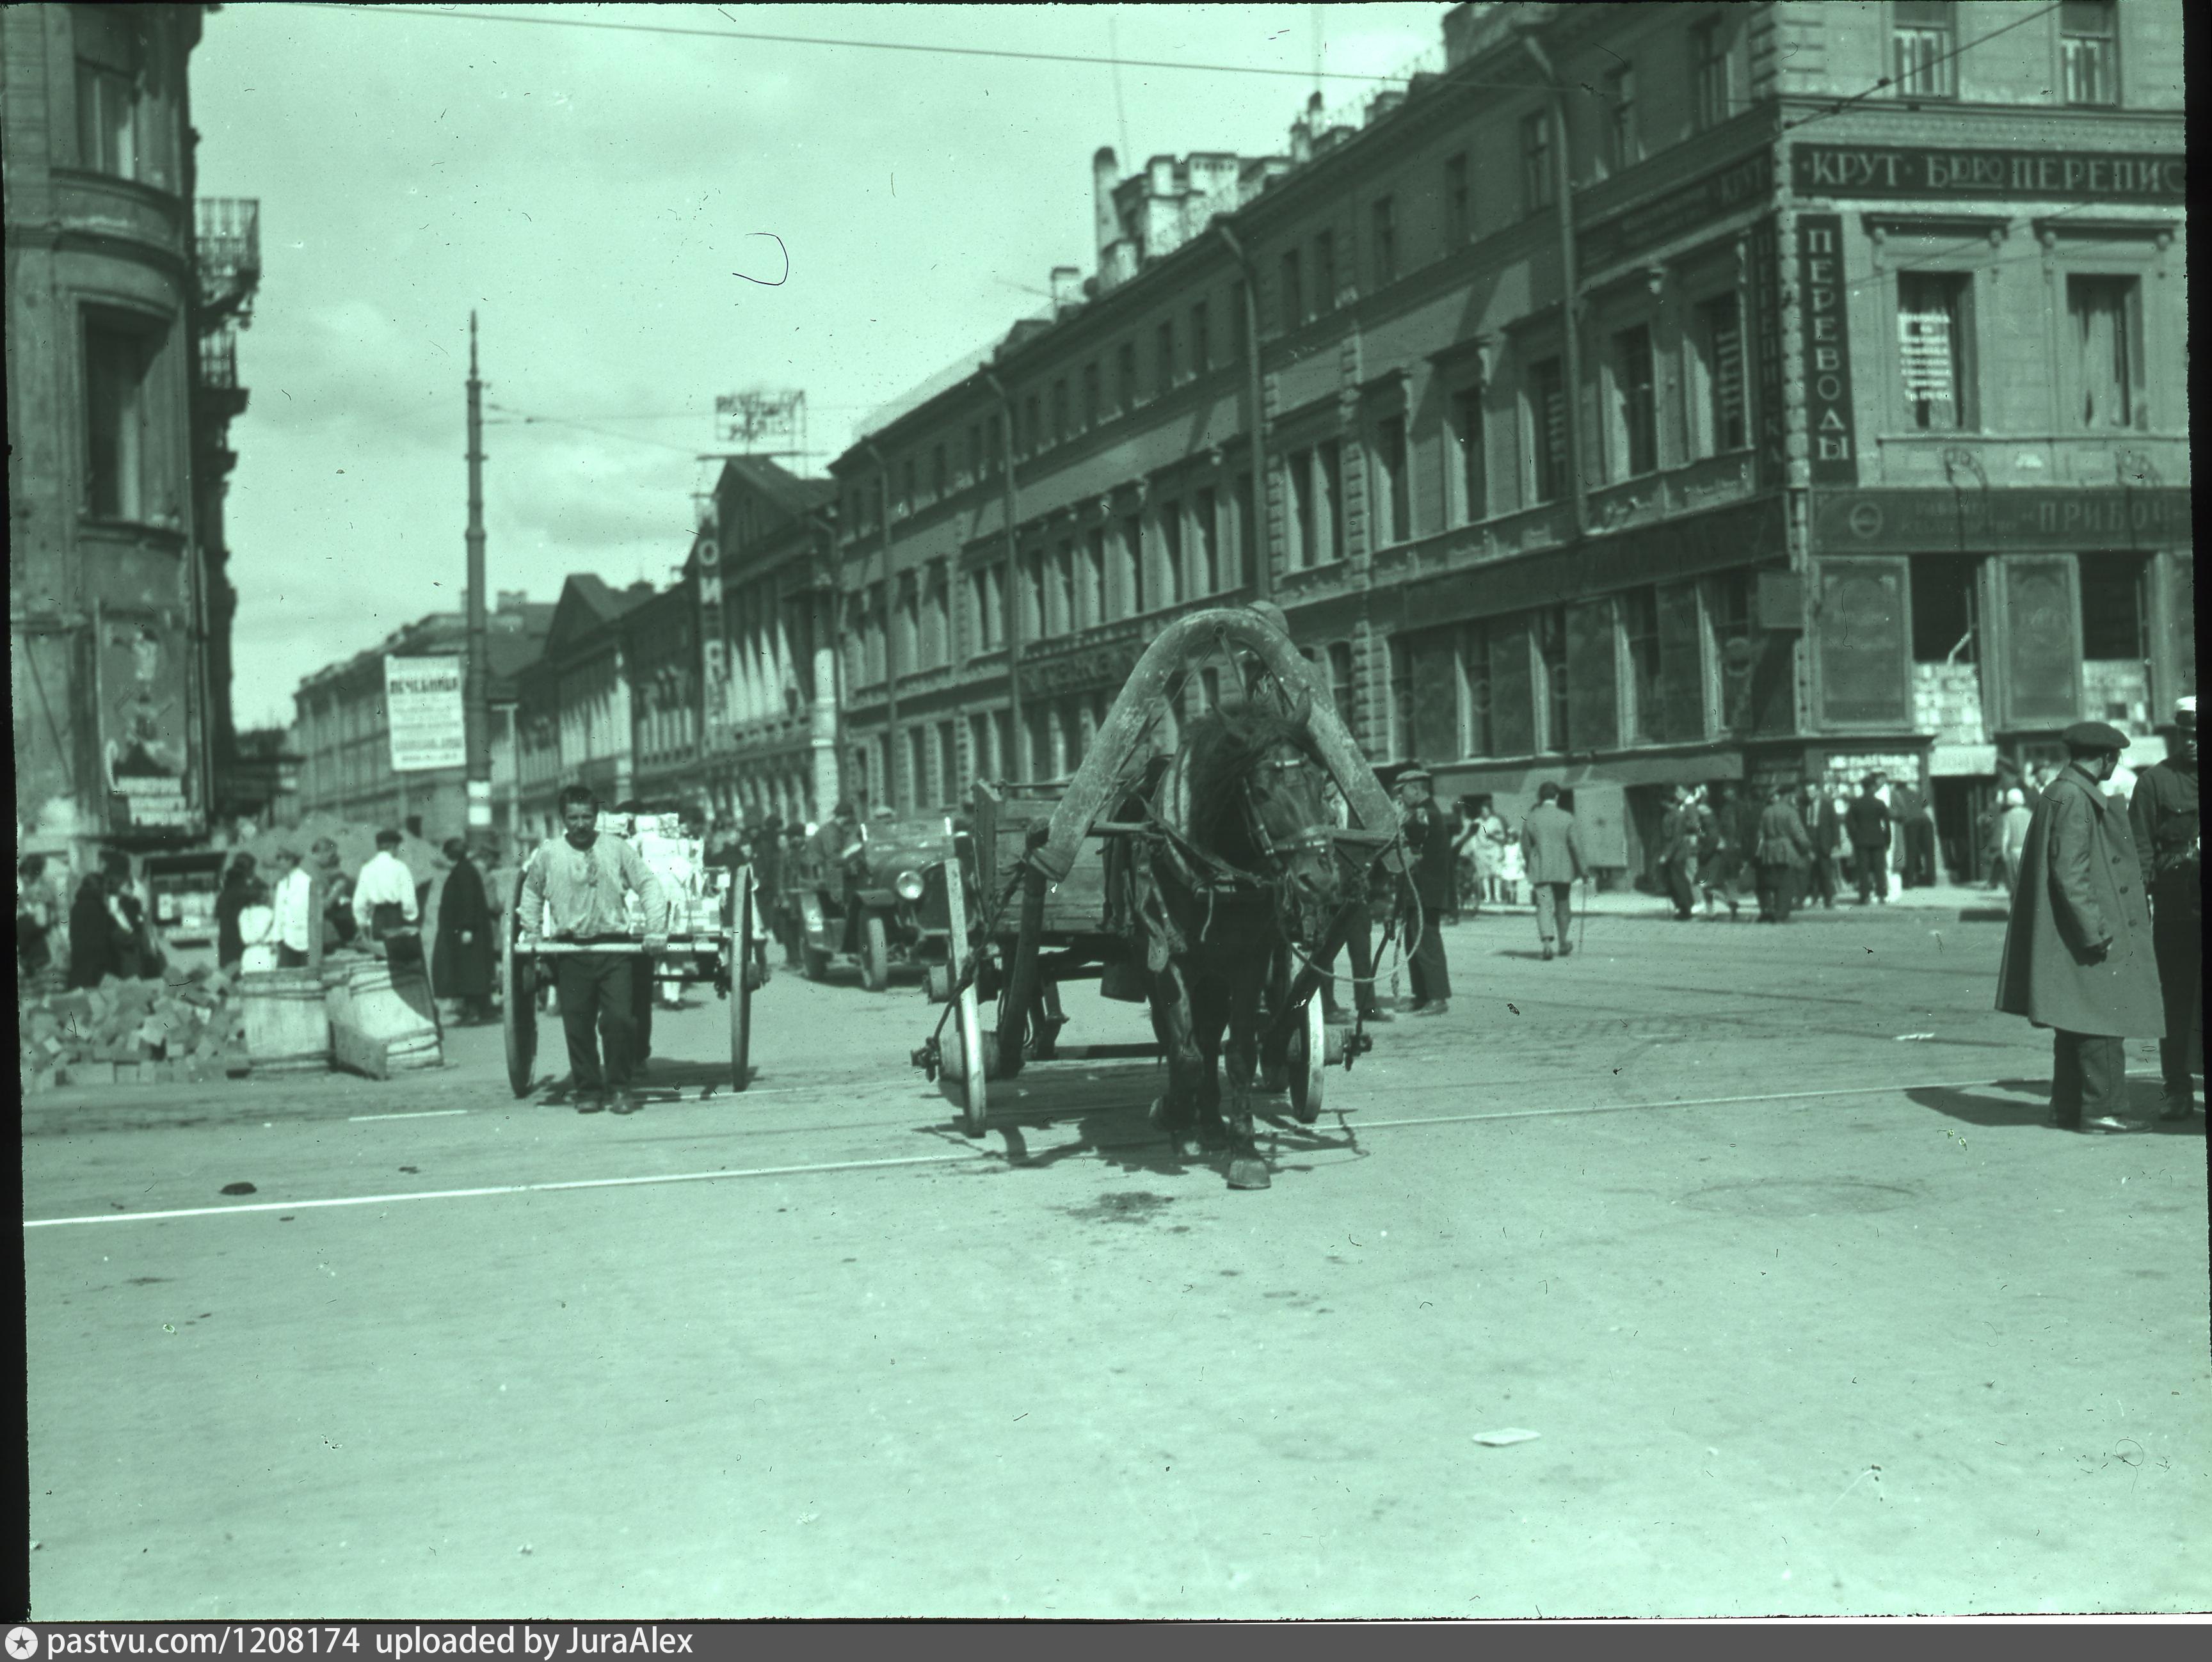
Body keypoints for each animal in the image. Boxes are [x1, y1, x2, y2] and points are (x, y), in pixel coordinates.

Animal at [1132, 694, 1354, 1186]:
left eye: (1319, 783)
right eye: (1263, 792)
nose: (1320, 880)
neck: (1217, 872)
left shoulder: (1247, 961)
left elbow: (1238, 1053)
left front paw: (1245, 1149)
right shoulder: (1169, 959)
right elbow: (1186, 1054)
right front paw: (1171, 1112)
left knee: (1212, 1032)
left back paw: (1213, 1123)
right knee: (1180, 1039)